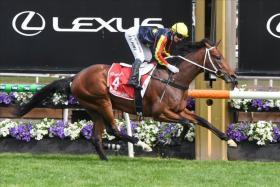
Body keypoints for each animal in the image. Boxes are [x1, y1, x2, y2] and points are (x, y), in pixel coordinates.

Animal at [15, 37, 237, 159]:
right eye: (218, 57)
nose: (233, 76)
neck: (174, 78)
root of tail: (75, 77)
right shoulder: (160, 113)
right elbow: (186, 124)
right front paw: (171, 143)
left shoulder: (179, 110)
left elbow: (201, 121)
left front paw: (230, 140)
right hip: (102, 101)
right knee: (113, 130)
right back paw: (142, 144)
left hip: (93, 109)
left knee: (96, 137)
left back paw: (105, 160)